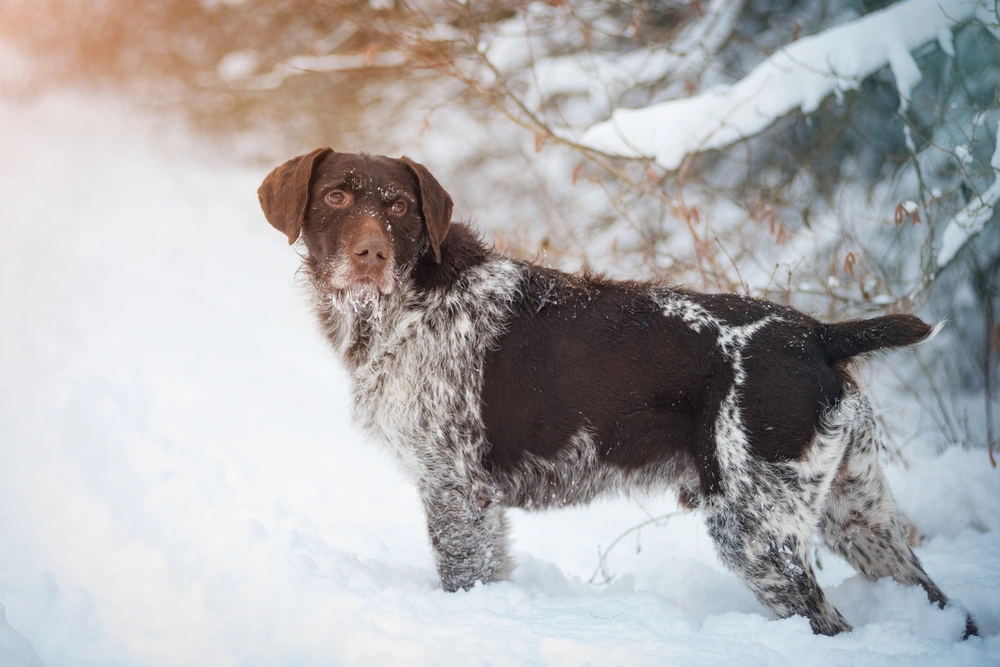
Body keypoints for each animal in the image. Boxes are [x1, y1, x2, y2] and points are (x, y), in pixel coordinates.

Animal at [256, 149, 976, 640]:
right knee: (941, 602)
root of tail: (818, 335)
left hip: (755, 530)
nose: (371, 254)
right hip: (858, 515)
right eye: (337, 197)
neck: (405, 303)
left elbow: (463, 574)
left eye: (400, 207)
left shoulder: (454, 486)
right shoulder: (472, 498)